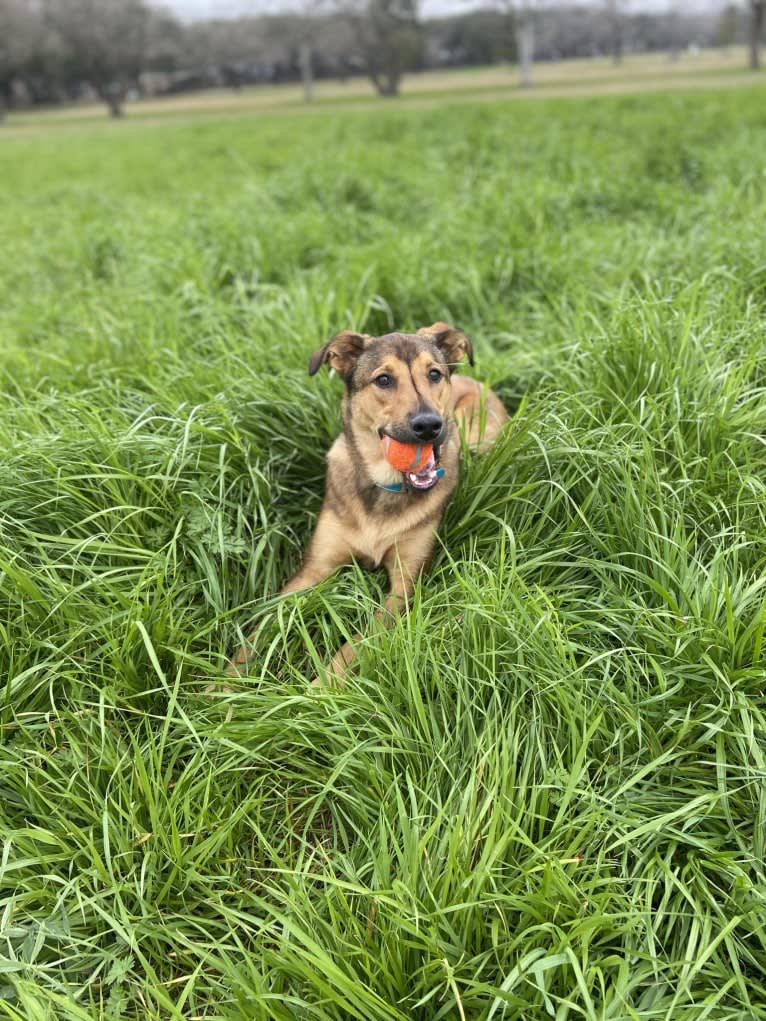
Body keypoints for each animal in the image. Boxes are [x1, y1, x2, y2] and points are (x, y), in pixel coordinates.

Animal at [230, 322, 512, 682]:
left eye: (434, 374)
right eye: (384, 380)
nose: (429, 426)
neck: (384, 486)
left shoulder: (405, 585)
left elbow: (355, 645)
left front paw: (317, 688)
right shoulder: (311, 571)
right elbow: (259, 630)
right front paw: (221, 683)